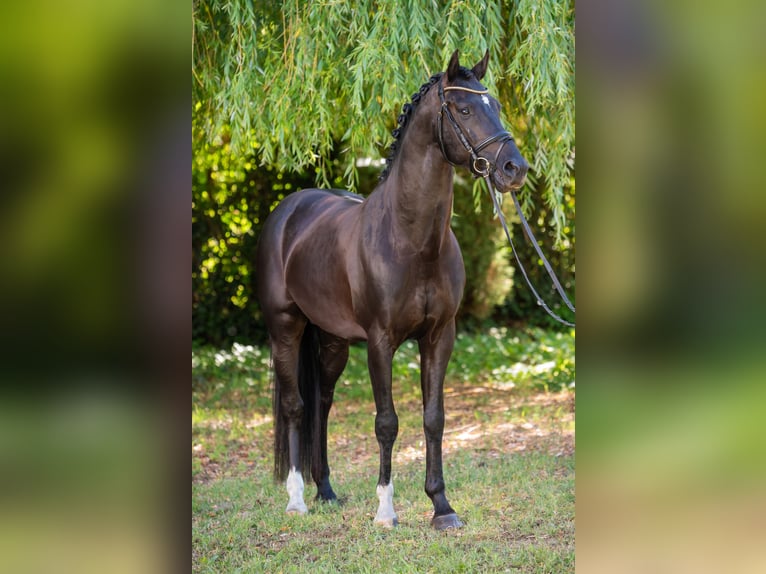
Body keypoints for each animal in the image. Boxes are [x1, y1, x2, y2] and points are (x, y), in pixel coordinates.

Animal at [256, 50, 529, 530]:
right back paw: (297, 498)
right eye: (463, 109)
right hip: (285, 329)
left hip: (332, 341)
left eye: (495, 104)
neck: (411, 240)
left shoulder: (439, 337)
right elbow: (386, 422)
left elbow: (434, 418)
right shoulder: (380, 342)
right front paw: (385, 509)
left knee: (322, 403)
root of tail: (289, 210)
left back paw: (326, 491)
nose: (514, 169)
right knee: (295, 405)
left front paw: (442, 507)